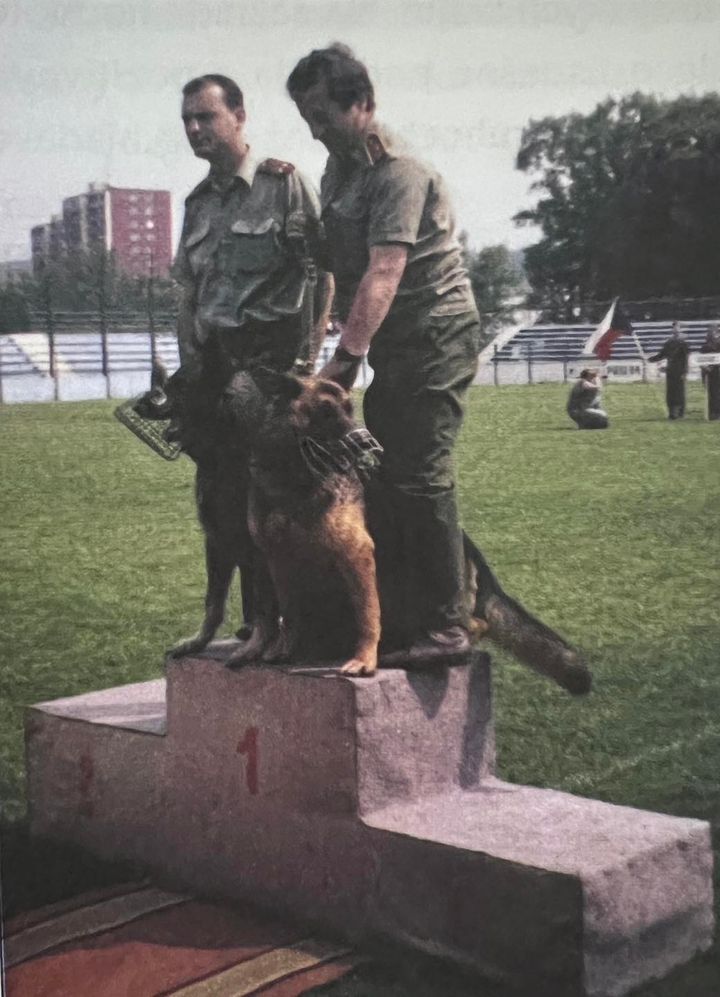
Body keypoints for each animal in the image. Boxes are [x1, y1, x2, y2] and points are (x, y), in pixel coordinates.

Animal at [139, 362, 592, 696]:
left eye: (176, 384)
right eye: (324, 412)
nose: (146, 398)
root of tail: (479, 564)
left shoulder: (325, 554)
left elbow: (311, 614)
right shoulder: (241, 550)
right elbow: (225, 606)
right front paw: (230, 646)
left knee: (467, 625)